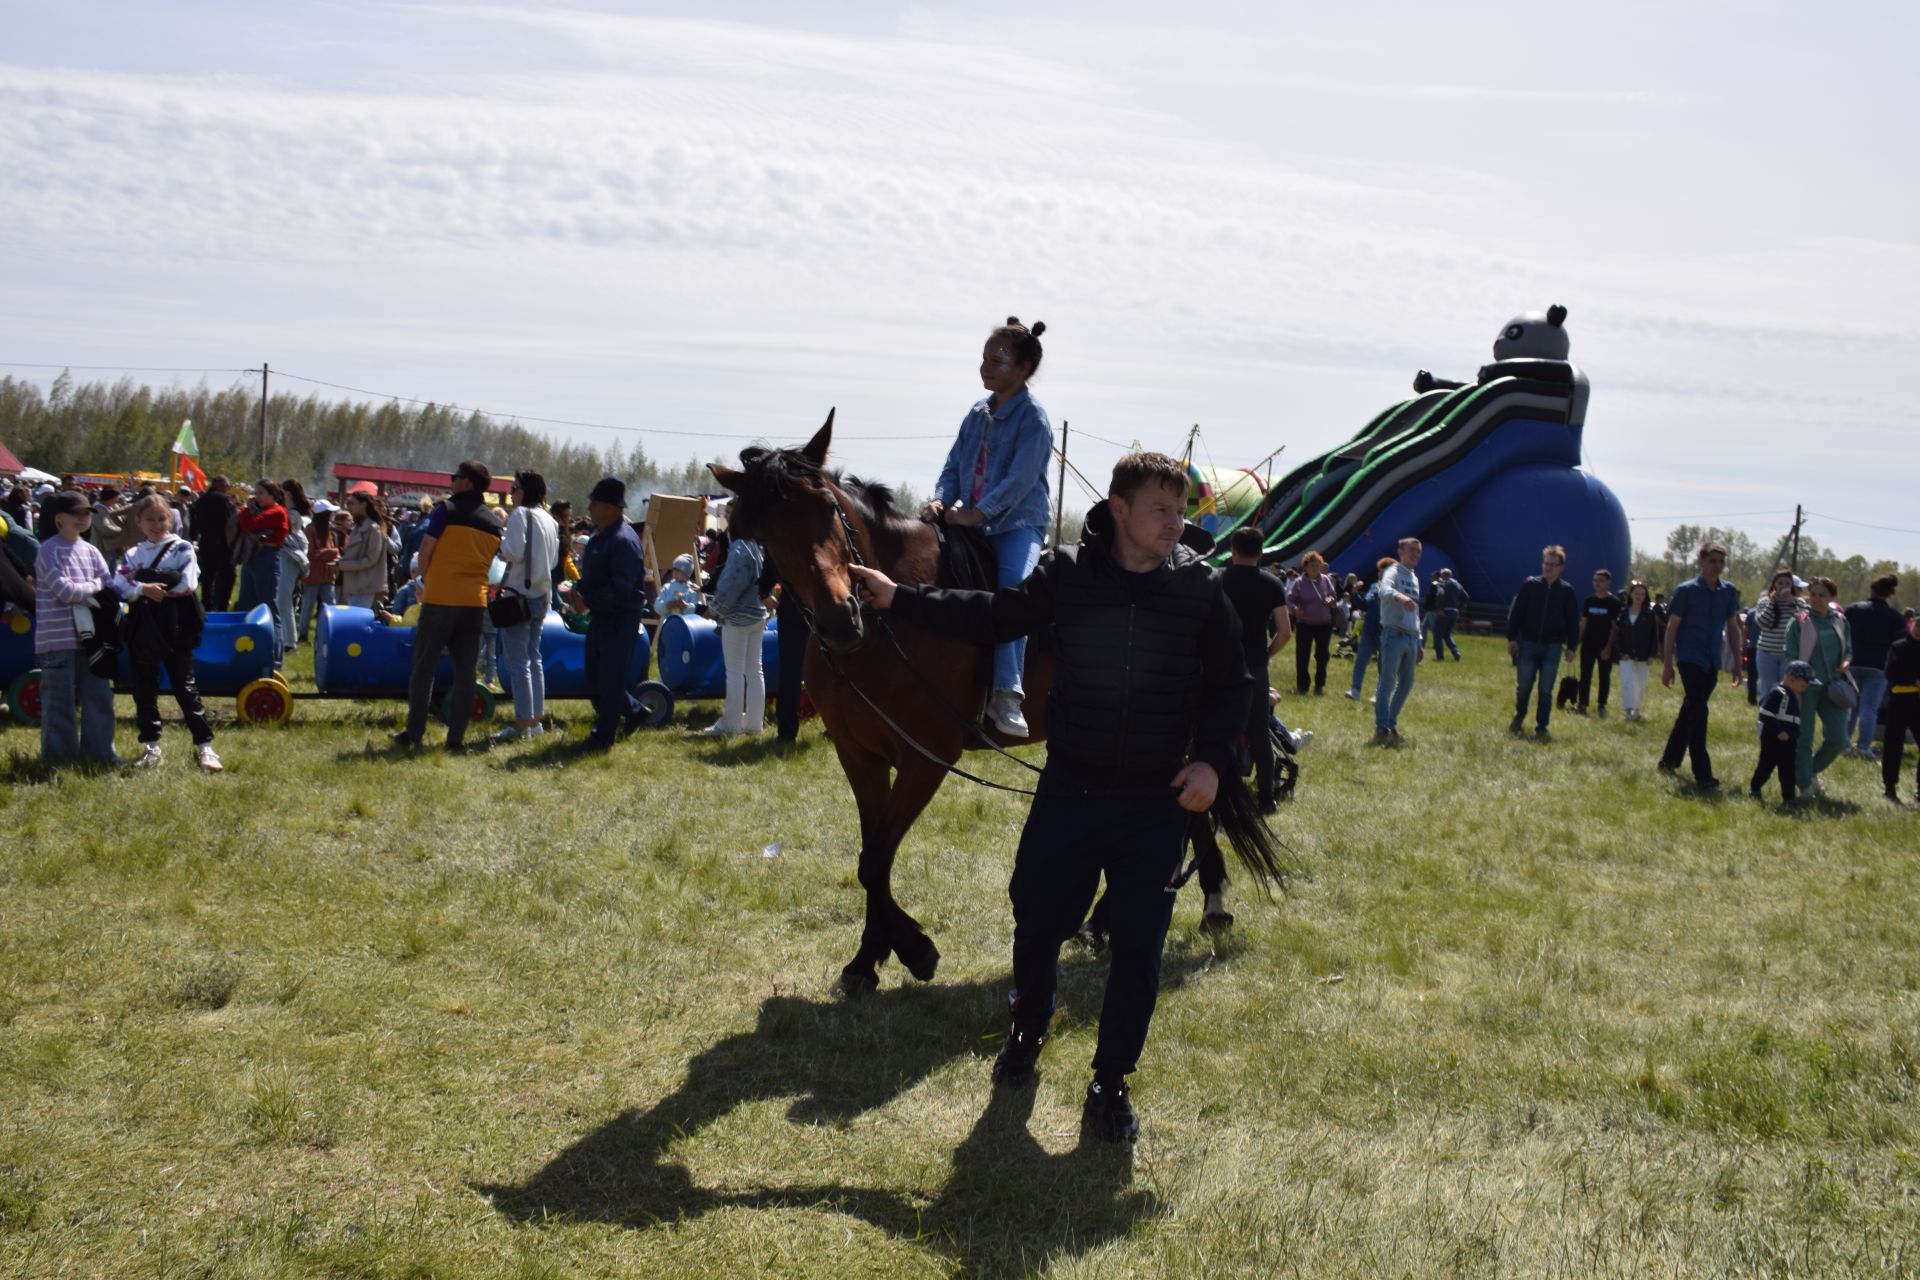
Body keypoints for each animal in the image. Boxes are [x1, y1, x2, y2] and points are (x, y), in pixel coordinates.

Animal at [714, 416, 1059, 997]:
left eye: (828, 507)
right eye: (763, 535)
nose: (838, 619)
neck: (894, 619)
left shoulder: (927, 759)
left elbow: (875, 859)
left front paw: (915, 950)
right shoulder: (860, 754)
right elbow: (872, 855)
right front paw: (867, 959)